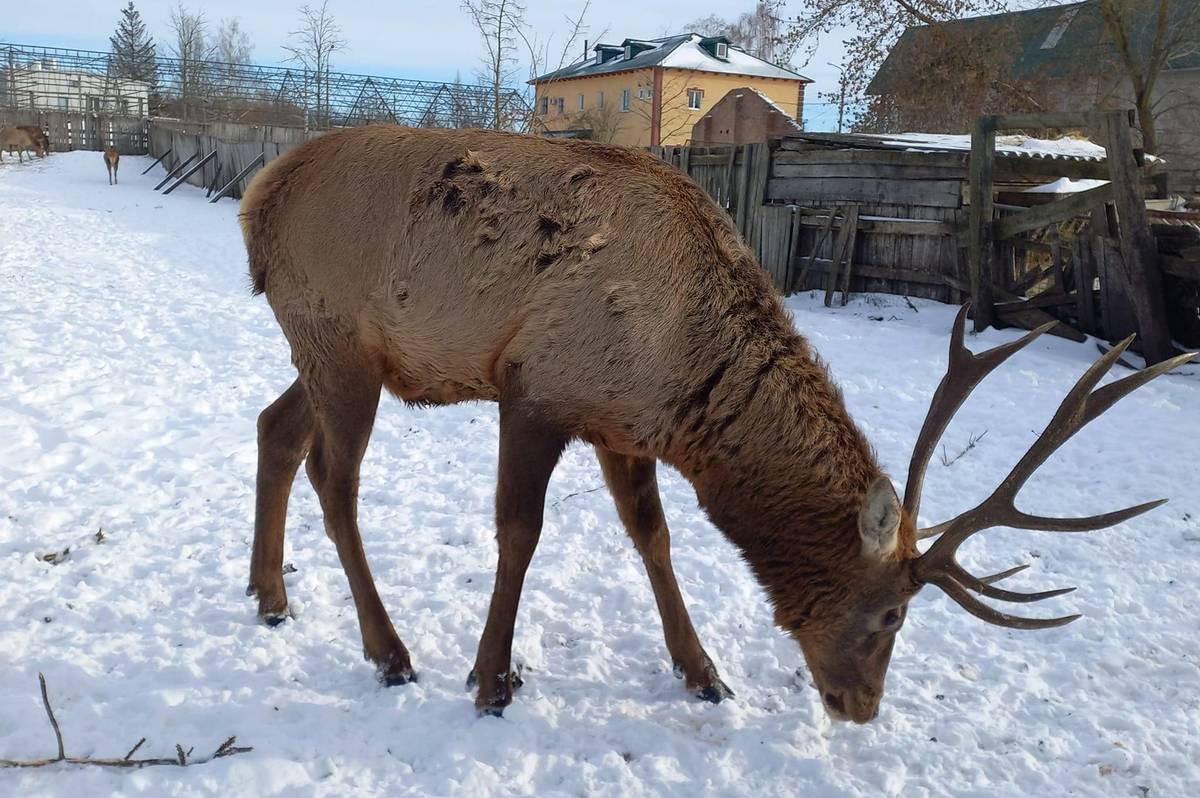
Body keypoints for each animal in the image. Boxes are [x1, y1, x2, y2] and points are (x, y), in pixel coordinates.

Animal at [236, 127, 1190, 720]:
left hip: (335, 353)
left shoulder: (619, 425)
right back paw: (388, 650)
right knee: (336, 481)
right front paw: (492, 679)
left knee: (275, 426)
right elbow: (519, 532)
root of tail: (257, 195)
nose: (861, 708)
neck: (682, 375)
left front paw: (704, 674)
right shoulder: (535, 386)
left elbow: (653, 537)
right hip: (338, 338)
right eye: (891, 617)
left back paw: (270, 594)